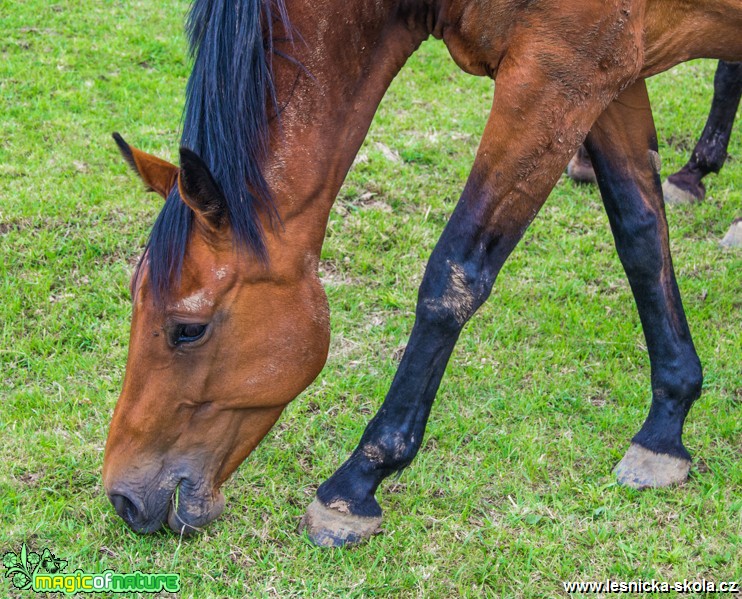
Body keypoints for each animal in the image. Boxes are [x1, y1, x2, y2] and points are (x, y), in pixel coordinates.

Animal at [103, 0, 742, 548]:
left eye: (188, 329)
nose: (123, 498)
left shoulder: (558, 76)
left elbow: (453, 276)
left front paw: (355, 485)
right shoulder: (609, 76)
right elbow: (640, 234)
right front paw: (667, 424)